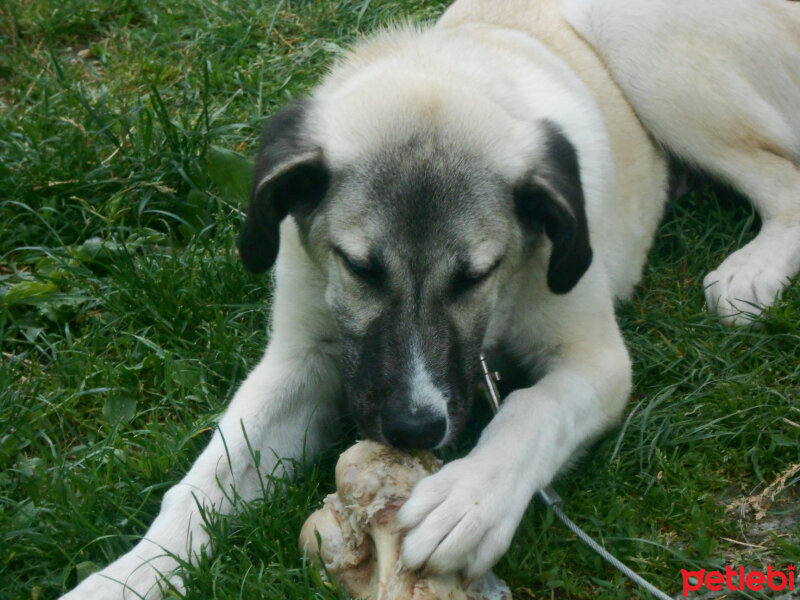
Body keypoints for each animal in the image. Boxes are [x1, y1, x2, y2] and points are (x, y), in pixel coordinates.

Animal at [64, 2, 800, 596]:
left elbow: (532, 412)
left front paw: (469, 501)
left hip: (646, 50)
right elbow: (208, 479)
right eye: (359, 267)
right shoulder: (302, 358)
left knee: (785, 179)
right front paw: (129, 575)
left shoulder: (596, 361)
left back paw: (753, 270)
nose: (415, 429)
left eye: (475, 276)